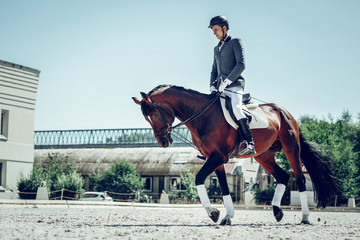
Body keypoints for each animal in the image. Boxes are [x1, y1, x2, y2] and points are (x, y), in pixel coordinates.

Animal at [131, 84, 338, 225]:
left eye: (155, 115)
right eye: (146, 119)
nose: (163, 142)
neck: (203, 116)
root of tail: (284, 111)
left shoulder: (217, 156)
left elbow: (199, 178)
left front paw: (213, 213)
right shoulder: (216, 159)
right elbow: (223, 187)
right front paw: (226, 216)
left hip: (291, 148)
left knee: (300, 179)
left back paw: (305, 217)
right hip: (264, 155)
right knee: (282, 176)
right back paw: (277, 212)